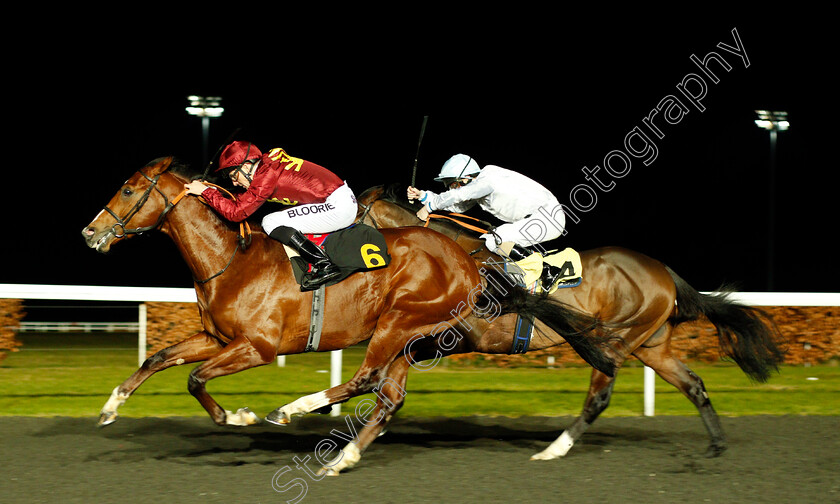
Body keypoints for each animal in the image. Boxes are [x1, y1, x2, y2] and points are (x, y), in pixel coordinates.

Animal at [80, 158, 616, 476]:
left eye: (127, 190)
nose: (89, 233)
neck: (230, 260)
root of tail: (471, 265)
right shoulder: (216, 337)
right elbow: (159, 358)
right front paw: (109, 407)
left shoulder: (257, 348)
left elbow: (194, 379)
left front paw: (238, 415)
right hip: (410, 335)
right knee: (388, 393)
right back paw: (342, 453)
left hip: (398, 322)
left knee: (367, 378)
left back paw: (294, 410)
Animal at [352, 183, 784, 458]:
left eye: (352, 215)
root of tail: (663, 271)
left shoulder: (457, 336)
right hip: (651, 345)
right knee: (693, 384)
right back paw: (716, 445)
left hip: (616, 340)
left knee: (599, 398)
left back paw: (553, 450)